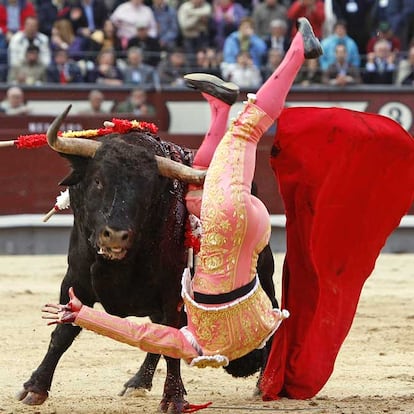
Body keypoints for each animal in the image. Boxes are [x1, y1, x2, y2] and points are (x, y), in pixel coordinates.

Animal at [17, 108, 280, 412]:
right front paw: (35, 388)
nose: (115, 235)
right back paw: (139, 382)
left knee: (272, 312)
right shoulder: (75, 278)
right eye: (98, 180)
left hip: (264, 271)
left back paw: (264, 383)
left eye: (147, 189)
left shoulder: (173, 292)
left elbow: (172, 341)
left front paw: (174, 398)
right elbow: (63, 333)